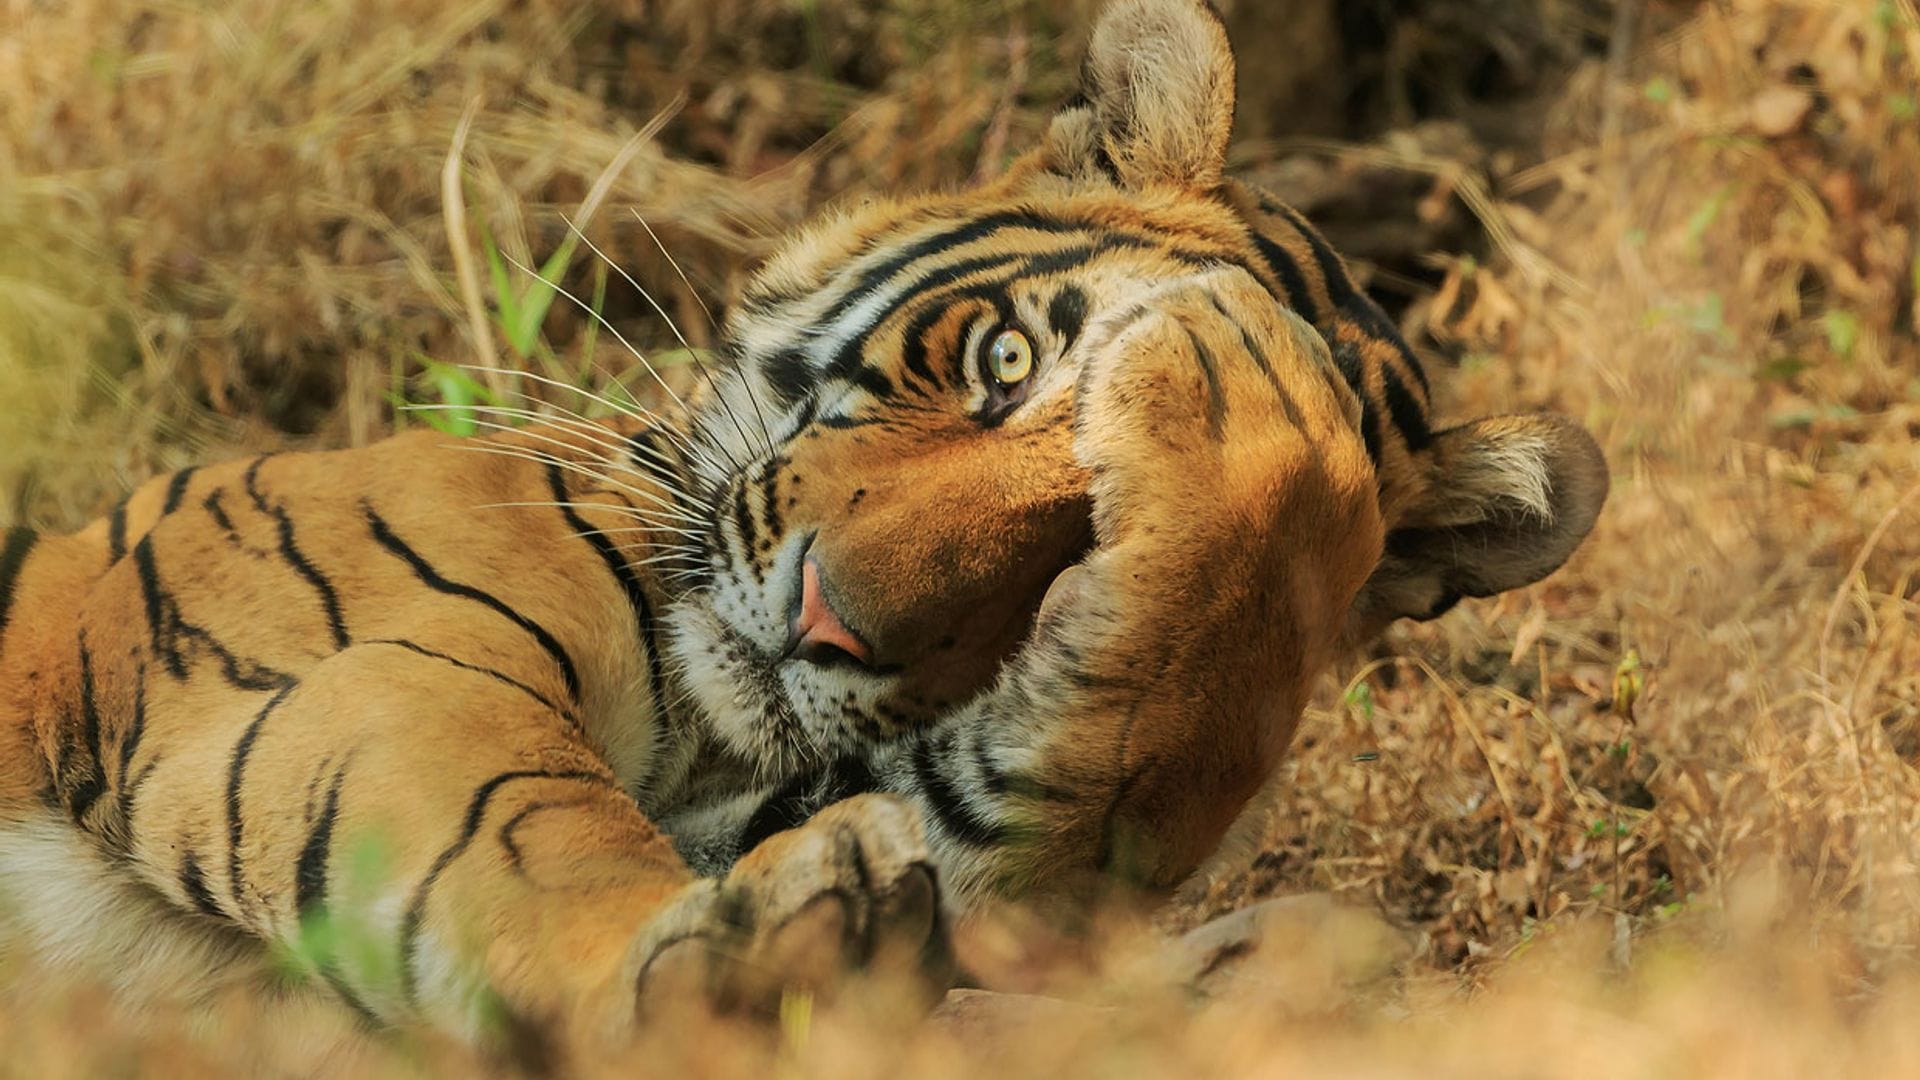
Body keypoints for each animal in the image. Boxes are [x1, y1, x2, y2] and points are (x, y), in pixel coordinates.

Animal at [0, 0, 1605, 1060]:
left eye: (1080, 556)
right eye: (1004, 359)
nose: (829, 624)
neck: (712, 735)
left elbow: (1086, 764)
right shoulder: (369, 663)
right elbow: (524, 824)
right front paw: (719, 963)